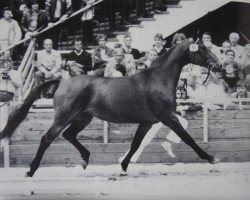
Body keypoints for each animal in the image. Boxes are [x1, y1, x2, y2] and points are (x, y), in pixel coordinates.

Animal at [0, 39, 221, 177]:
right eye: (203, 49)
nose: (218, 65)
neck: (157, 80)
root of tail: (61, 82)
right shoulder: (168, 117)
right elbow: (188, 138)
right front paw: (211, 158)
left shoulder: (147, 122)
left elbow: (136, 144)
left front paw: (123, 167)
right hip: (64, 117)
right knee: (47, 138)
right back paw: (31, 170)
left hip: (83, 118)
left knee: (69, 135)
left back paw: (85, 159)